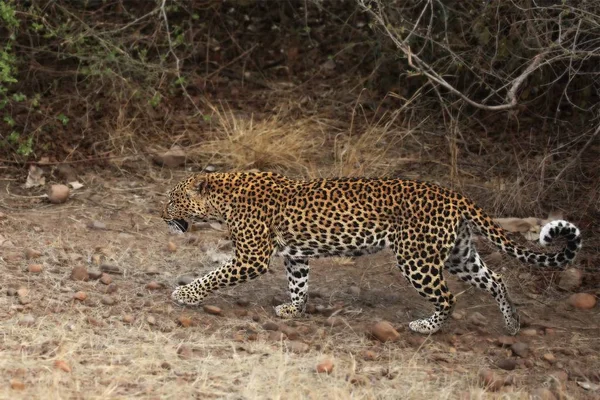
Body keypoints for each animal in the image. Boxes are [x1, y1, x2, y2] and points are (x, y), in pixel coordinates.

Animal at [161, 171, 580, 334]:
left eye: (172, 198)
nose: (160, 213)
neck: (221, 200)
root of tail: (454, 195)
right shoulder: (295, 254)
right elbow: (299, 284)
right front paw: (294, 310)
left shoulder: (251, 257)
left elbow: (214, 275)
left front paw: (185, 294)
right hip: (459, 255)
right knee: (497, 279)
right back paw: (512, 324)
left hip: (416, 257)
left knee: (447, 297)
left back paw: (426, 326)